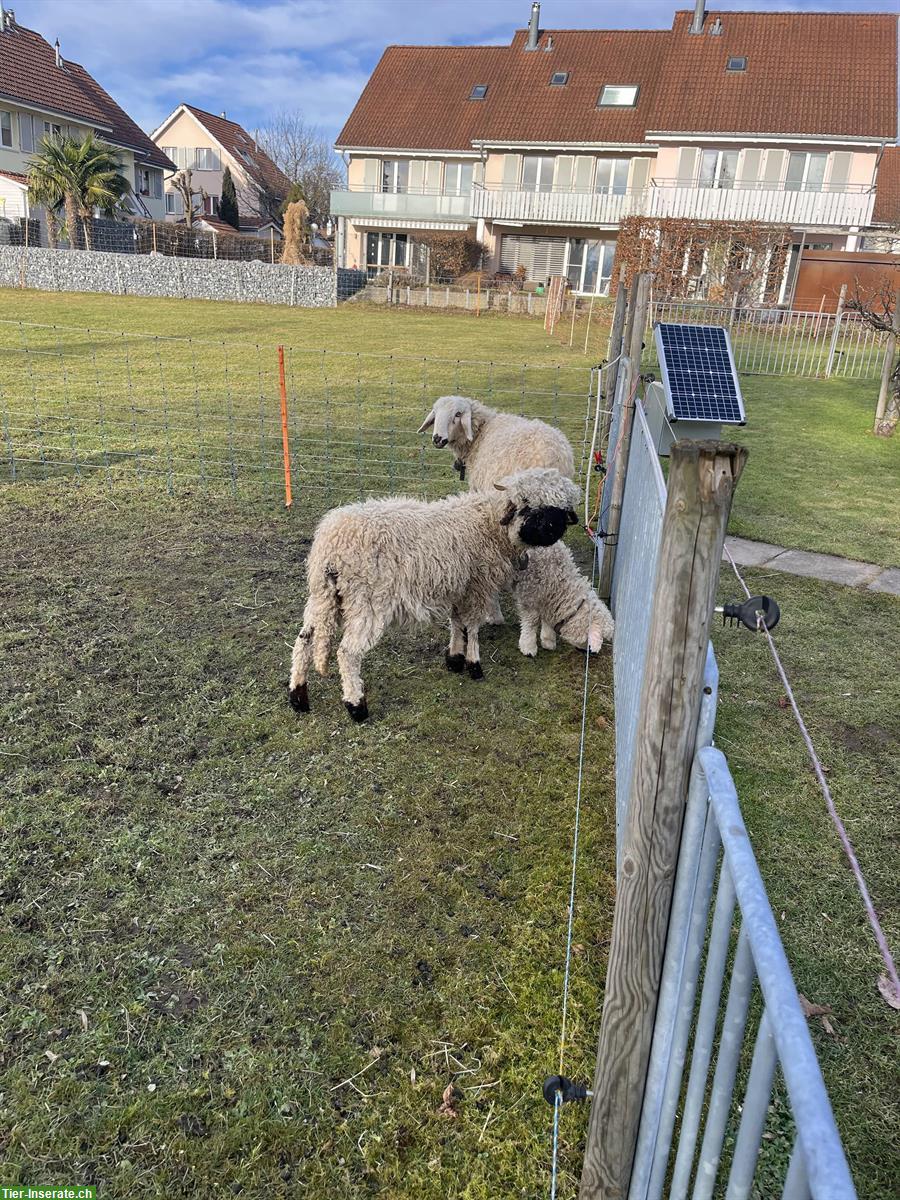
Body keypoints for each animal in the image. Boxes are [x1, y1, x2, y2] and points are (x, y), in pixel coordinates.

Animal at [290, 468, 585, 720]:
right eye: (527, 506)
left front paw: (454, 658)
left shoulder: (459, 587)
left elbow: (457, 624)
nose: (551, 531)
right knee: (348, 653)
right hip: (366, 601)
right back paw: (356, 706)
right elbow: (472, 628)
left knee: (304, 640)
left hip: (323, 596)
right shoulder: (478, 586)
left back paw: (298, 697)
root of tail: (331, 545)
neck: (489, 524)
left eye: (559, 509)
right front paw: (474, 664)